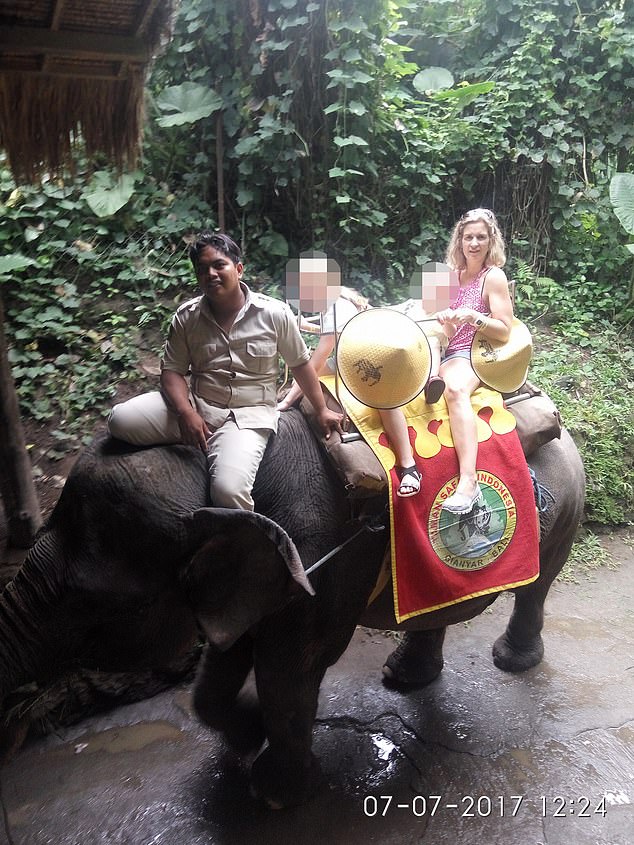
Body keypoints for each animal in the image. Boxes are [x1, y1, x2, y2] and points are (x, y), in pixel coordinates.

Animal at [0, 408, 584, 804]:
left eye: (90, 606)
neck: (217, 470)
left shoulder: (317, 561)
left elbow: (289, 666)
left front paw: (274, 794)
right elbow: (226, 655)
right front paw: (247, 733)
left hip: (565, 513)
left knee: (536, 586)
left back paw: (510, 662)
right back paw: (402, 678)